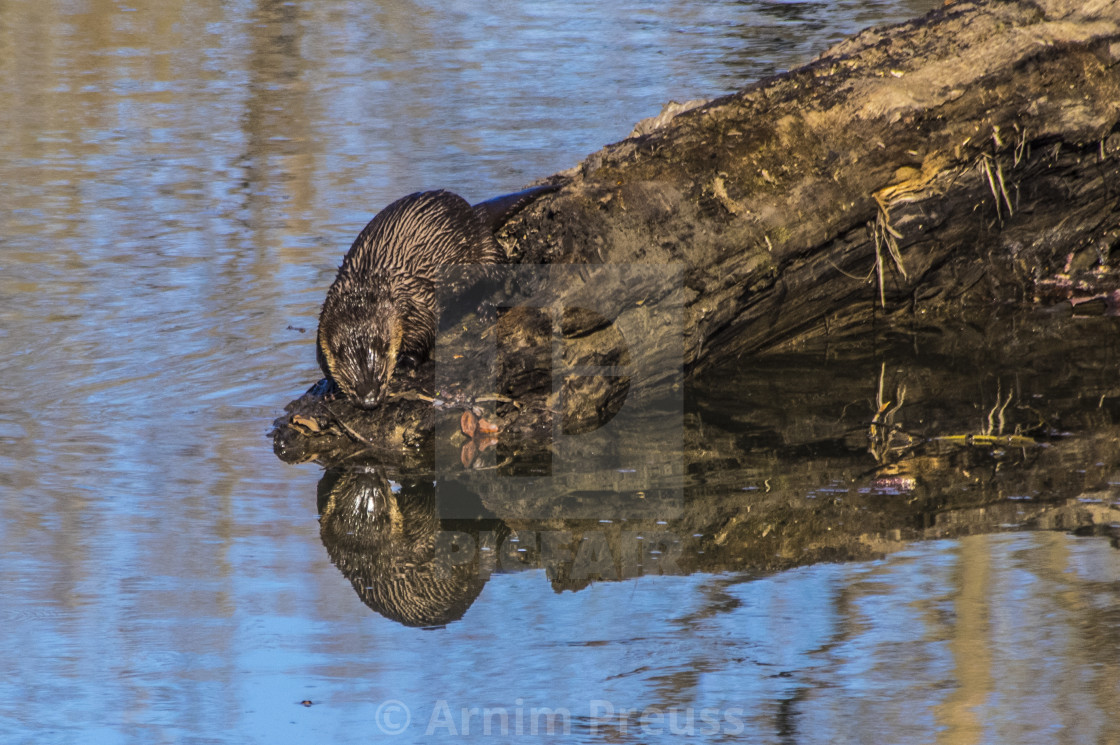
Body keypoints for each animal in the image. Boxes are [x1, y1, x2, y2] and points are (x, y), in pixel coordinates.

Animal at [318, 185, 553, 407]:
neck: (366, 288)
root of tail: (471, 211)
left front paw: (406, 361)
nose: (369, 400)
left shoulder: (416, 300)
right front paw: (330, 387)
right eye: (354, 386)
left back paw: (486, 308)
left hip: (484, 248)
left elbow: (425, 328)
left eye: (381, 378)